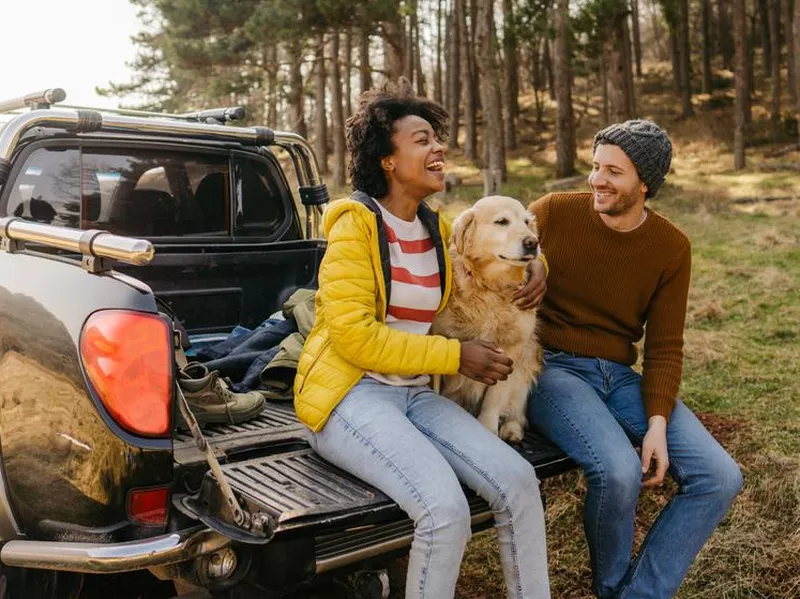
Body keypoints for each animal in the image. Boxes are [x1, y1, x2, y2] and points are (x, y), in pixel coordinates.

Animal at [432, 195, 544, 442]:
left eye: (526, 222)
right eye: (502, 222)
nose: (533, 242)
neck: (490, 288)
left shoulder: (512, 349)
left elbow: (495, 398)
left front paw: (488, 427)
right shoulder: (439, 336)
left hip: (527, 361)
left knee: (518, 411)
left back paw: (512, 428)